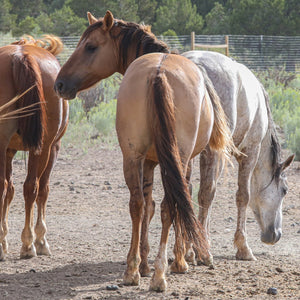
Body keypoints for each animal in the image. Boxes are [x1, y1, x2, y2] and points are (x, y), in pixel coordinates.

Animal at [0, 34, 68, 260]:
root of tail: (22, 55)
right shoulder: (53, 147)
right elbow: (43, 190)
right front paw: (40, 239)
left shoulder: (9, 150)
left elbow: (10, 190)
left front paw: (4, 239)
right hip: (43, 147)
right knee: (32, 187)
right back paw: (29, 243)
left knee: (6, 186)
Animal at [53, 11, 237, 290]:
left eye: (91, 46)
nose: (60, 84)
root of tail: (158, 73)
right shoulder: (182, 163)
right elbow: (180, 199)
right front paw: (178, 261)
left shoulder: (148, 162)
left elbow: (147, 206)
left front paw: (143, 264)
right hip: (177, 159)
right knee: (169, 205)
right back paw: (160, 274)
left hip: (132, 158)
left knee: (137, 204)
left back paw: (132, 271)